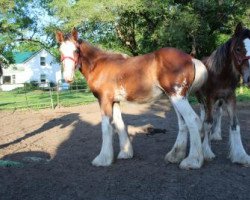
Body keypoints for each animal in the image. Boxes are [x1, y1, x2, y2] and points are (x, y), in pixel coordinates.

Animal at [56, 27, 207, 169]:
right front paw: (126, 153)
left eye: (76, 50)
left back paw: (192, 161)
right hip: (175, 97)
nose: (68, 78)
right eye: (60, 51)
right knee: (183, 123)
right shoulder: (115, 101)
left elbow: (106, 128)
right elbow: (119, 124)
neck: (99, 64)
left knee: (193, 120)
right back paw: (175, 156)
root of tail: (190, 58)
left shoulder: (104, 100)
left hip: (178, 97)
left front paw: (103, 159)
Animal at [196, 23, 250, 165]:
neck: (220, 74)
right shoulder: (209, 97)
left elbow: (235, 124)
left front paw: (241, 155)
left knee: (218, 113)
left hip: (219, 100)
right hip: (200, 97)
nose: (249, 77)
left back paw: (216, 134)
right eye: (238, 49)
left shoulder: (230, 97)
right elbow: (208, 123)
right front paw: (207, 152)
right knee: (203, 111)